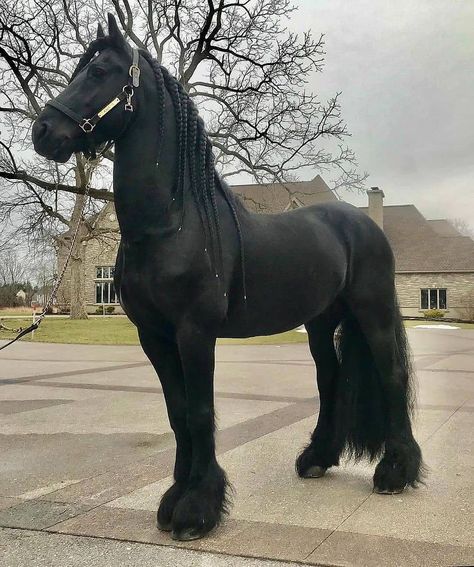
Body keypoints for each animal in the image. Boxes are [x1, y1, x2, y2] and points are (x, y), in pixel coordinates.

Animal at [32, 15, 422, 540]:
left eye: (98, 72)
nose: (42, 131)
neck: (172, 223)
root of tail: (364, 224)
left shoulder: (195, 332)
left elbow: (200, 412)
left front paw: (198, 508)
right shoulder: (154, 336)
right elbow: (178, 413)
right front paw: (174, 498)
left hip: (373, 312)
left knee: (392, 374)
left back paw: (396, 472)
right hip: (320, 323)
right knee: (329, 379)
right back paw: (317, 458)